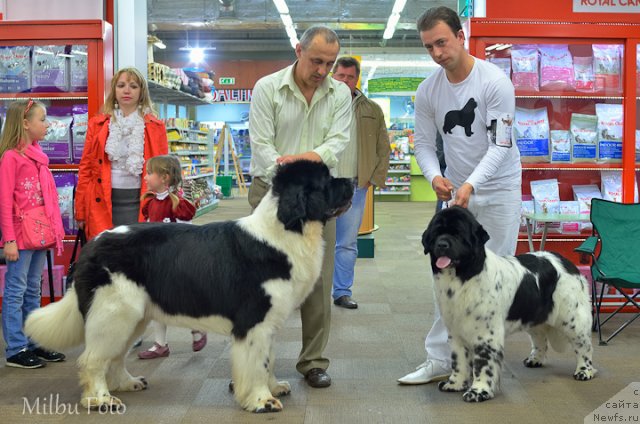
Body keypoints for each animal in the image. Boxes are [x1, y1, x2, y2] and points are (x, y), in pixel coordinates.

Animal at [420, 207, 596, 402]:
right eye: (437, 233)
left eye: (458, 234)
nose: (442, 244)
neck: (464, 277)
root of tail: (566, 262)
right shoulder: (456, 331)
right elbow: (459, 360)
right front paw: (455, 384)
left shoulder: (486, 335)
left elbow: (483, 364)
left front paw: (478, 391)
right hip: (533, 316)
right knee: (540, 338)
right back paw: (535, 359)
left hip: (572, 319)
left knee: (584, 346)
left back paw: (584, 371)